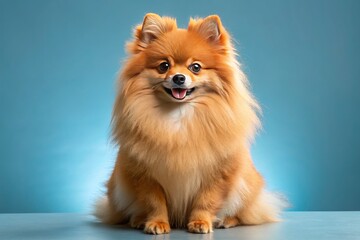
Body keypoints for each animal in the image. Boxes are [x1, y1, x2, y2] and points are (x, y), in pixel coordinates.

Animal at [94, 13, 286, 234]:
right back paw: (138, 219)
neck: (179, 115)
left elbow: (206, 200)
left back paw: (226, 220)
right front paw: (157, 223)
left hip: (246, 186)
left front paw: (200, 222)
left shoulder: (217, 173)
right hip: (118, 186)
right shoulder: (145, 174)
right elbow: (154, 202)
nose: (179, 77)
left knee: (244, 213)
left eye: (195, 67)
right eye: (163, 66)